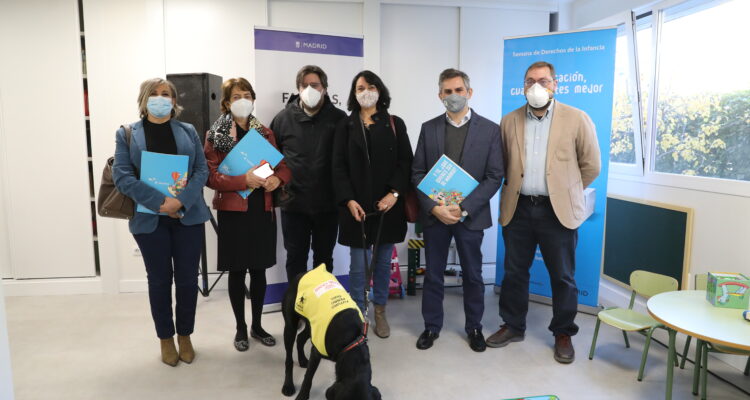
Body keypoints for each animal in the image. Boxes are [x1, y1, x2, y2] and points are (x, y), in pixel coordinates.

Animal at [281, 264, 381, 400]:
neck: (351, 341)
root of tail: (302, 273)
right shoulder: (316, 351)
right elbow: (308, 378)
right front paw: (302, 395)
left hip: (313, 326)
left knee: (300, 338)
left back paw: (302, 360)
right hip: (291, 327)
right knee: (289, 359)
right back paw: (288, 385)